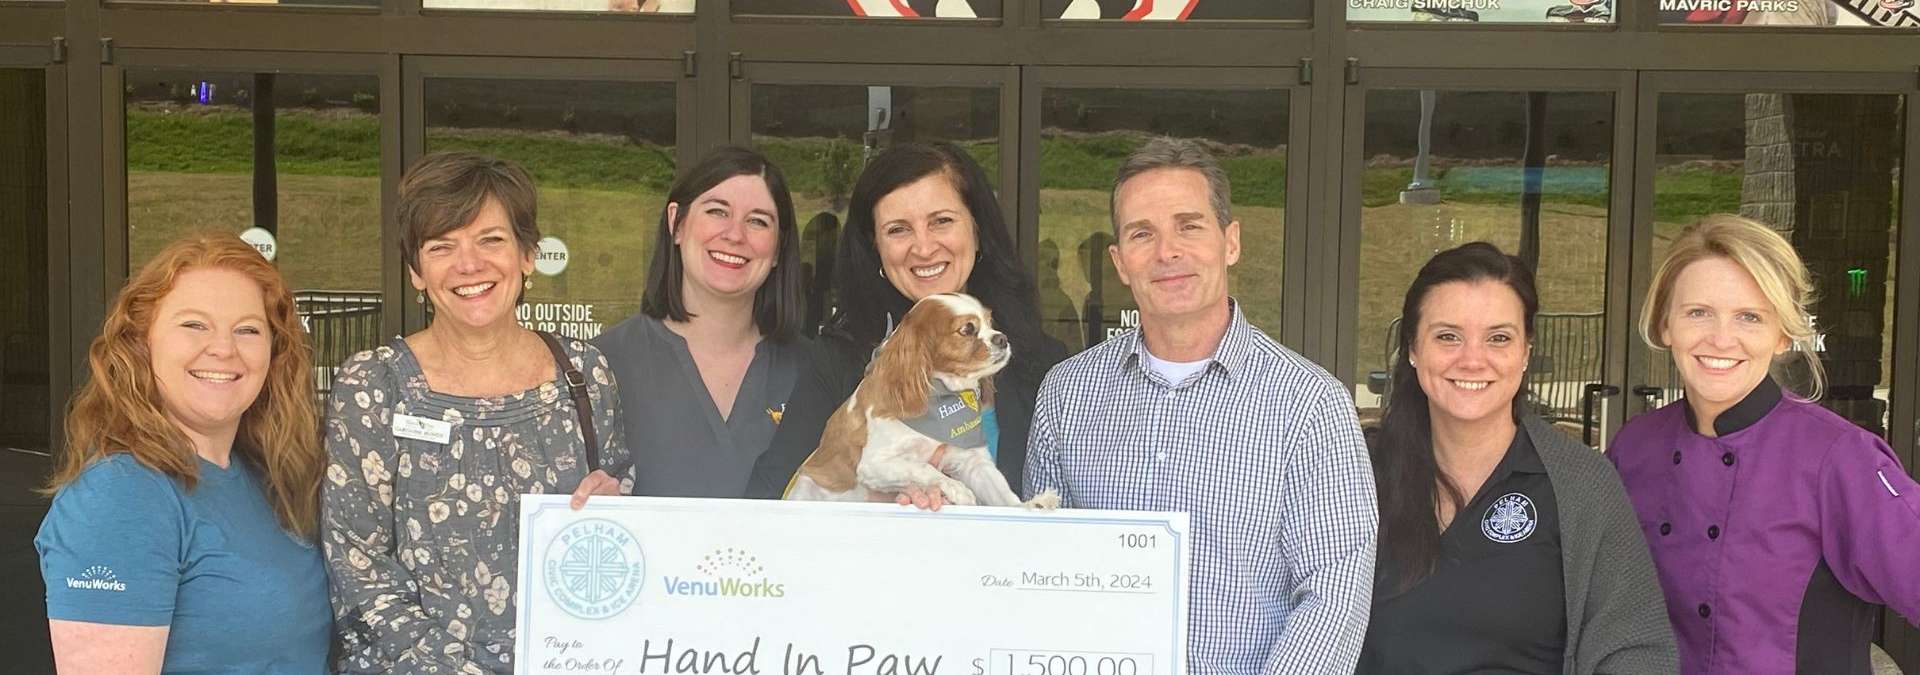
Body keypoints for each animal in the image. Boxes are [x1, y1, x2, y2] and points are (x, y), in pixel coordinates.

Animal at [785, 293, 1059, 509]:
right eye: (967, 329)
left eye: (991, 322)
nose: (1002, 338)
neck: (941, 399)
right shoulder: (875, 464)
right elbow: (922, 468)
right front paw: (956, 488)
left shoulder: (973, 462)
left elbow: (1001, 491)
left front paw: (1030, 505)